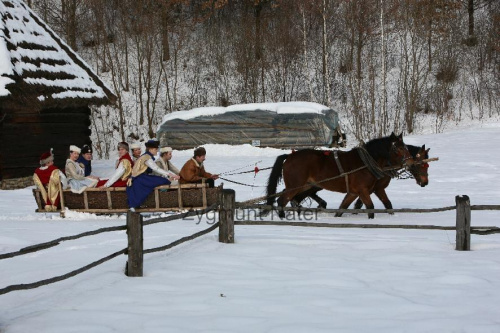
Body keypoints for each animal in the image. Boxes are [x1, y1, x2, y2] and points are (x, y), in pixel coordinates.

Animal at [266, 132, 414, 218]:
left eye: (406, 147)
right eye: (399, 148)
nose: (411, 162)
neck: (365, 163)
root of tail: (290, 156)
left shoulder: (356, 192)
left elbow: (342, 208)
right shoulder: (363, 190)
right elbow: (370, 208)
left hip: (306, 185)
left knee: (293, 199)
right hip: (296, 185)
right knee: (282, 200)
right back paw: (282, 218)